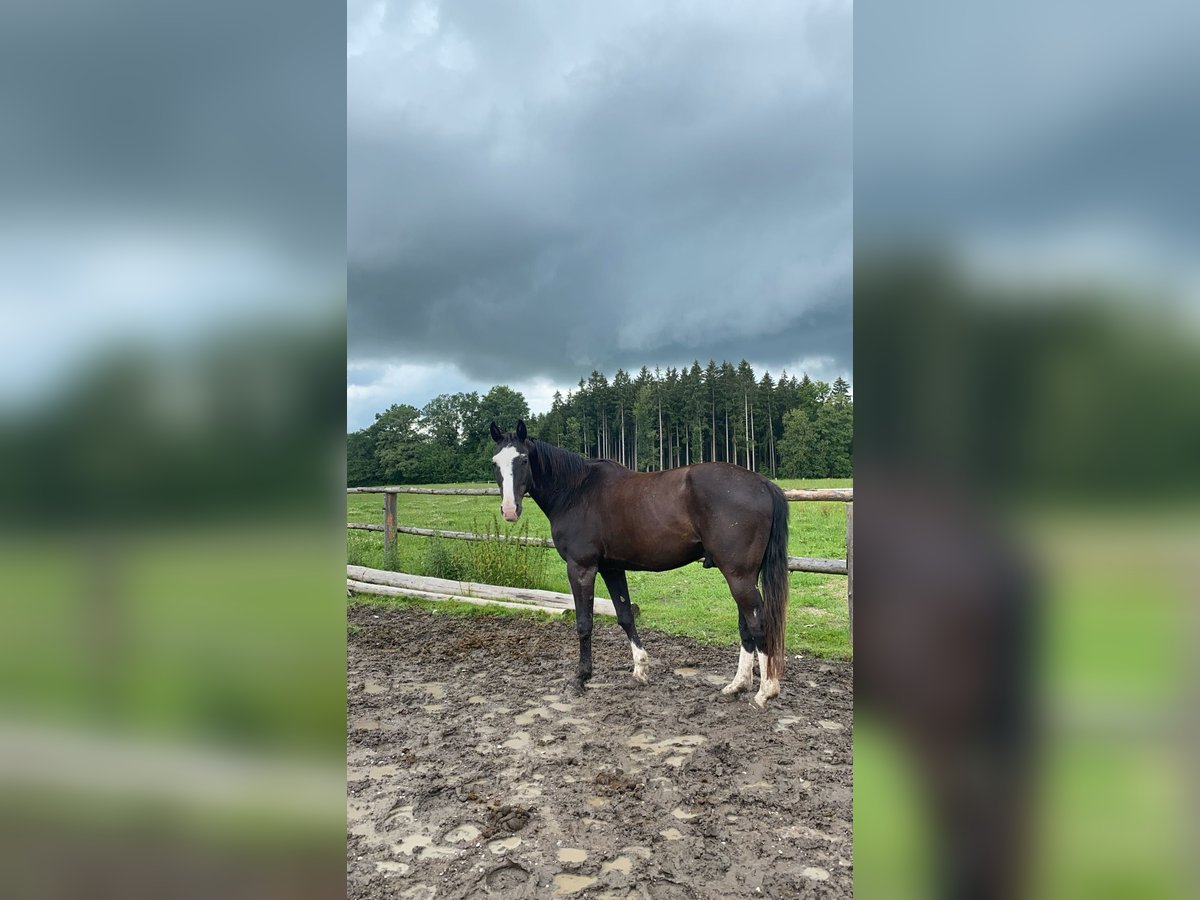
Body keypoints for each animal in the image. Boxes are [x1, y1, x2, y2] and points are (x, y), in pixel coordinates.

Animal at [487, 420, 787, 710]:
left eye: (523, 459)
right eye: (495, 462)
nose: (509, 510)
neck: (576, 491)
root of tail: (763, 484)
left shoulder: (581, 568)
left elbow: (584, 622)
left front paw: (581, 677)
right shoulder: (612, 569)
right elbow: (625, 616)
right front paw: (640, 670)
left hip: (738, 576)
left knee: (757, 624)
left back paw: (766, 692)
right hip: (744, 576)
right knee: (746, 626)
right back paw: (737, 685)